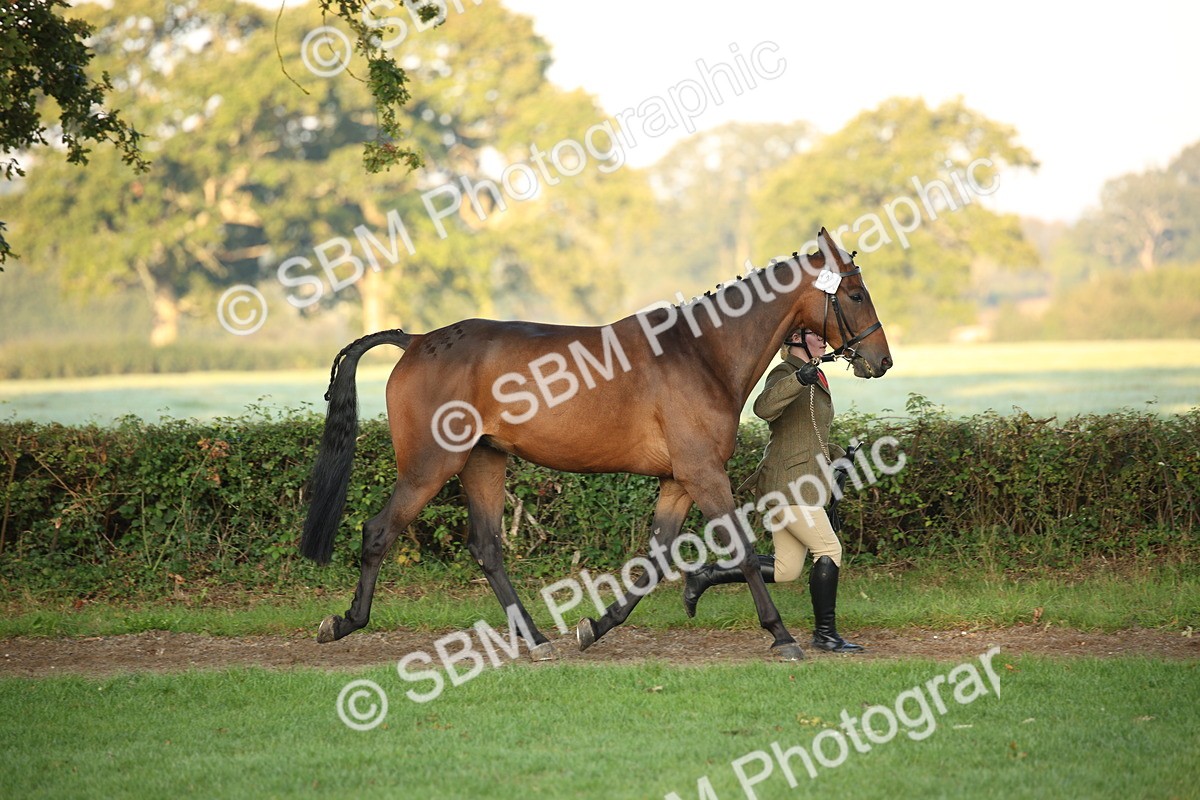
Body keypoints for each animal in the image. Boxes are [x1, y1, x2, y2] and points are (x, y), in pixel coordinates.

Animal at [298, 227, 892, 661]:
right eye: (856, 294)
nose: (881, 360)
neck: (702, 352)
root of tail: (418, 340)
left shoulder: (678, 480)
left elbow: (655, 560)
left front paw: (596, 625)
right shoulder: (704, 474)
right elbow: (744, 551)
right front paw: (782, 635)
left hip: (483, 462)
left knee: (487, 547)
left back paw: (536, 639)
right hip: (429, 466)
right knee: (379, 532)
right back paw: (344, 622)